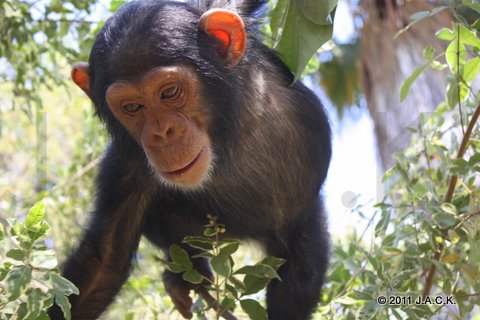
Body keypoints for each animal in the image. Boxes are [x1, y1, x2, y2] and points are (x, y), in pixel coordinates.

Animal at [50, 0, 332, 320]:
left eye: (170, 91)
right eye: (132, 107)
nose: (162, 133)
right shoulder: (124, 170)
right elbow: (104, 261)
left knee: (301, 276)